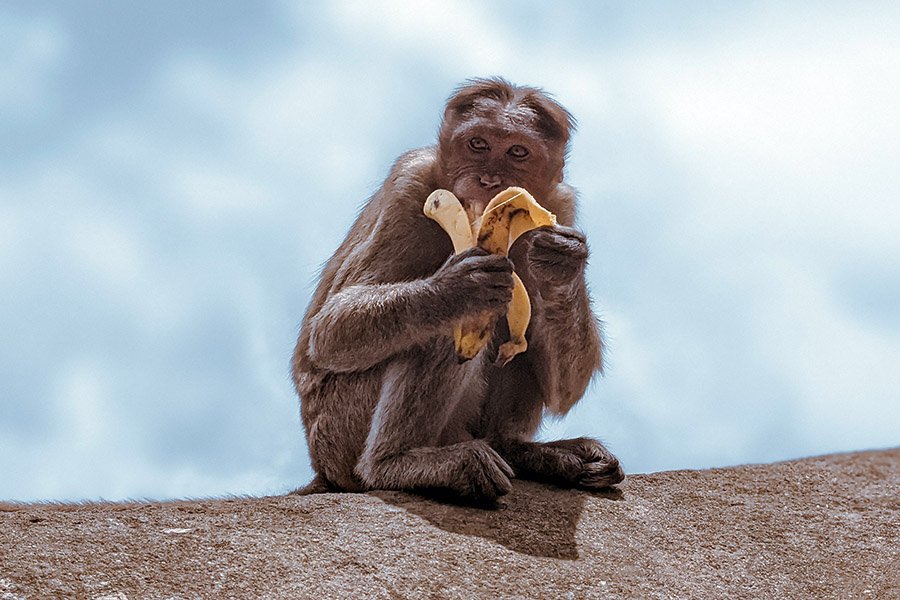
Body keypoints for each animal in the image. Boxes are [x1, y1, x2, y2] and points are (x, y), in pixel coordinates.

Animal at [292, 78, 624, 502]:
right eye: (478, 144)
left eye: (517, 152)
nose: (489, 181)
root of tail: (323, 467)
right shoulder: (409, 183)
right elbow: (329, 331)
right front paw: (456, 287)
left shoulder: (561, 204)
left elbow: (565, 388)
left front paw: (563, 264)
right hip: (338, 429)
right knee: (440, 329)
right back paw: (395, 463)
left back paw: (520, 451)